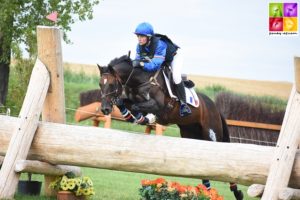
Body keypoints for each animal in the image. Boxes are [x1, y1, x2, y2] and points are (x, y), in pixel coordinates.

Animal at [98, 55, 244, 200]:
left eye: (111, 84)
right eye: (100, 84)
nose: (105, 109)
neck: (141, 81)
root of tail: (215, 107)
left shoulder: (158, 105)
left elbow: (137, 107)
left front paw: (145, 118)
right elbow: (125, 103)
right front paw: (132, 117)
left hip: (211, 134)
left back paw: (235, 192)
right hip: (191, 134)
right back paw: (207, 192)